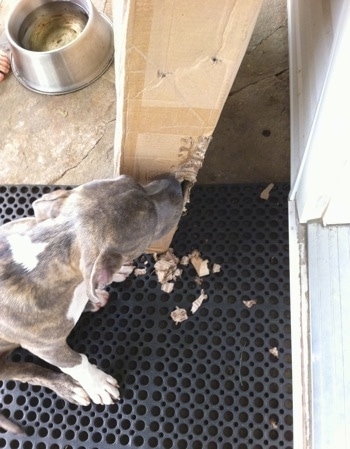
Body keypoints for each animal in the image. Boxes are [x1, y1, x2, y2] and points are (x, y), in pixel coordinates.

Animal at [0, 173, 183, 432]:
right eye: (152, 224)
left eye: (132, 180)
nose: (176, 182)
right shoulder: (46, 347)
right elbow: (76, 362)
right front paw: (98, 383)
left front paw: (113, 273)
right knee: (22, 370)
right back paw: (68, 386)